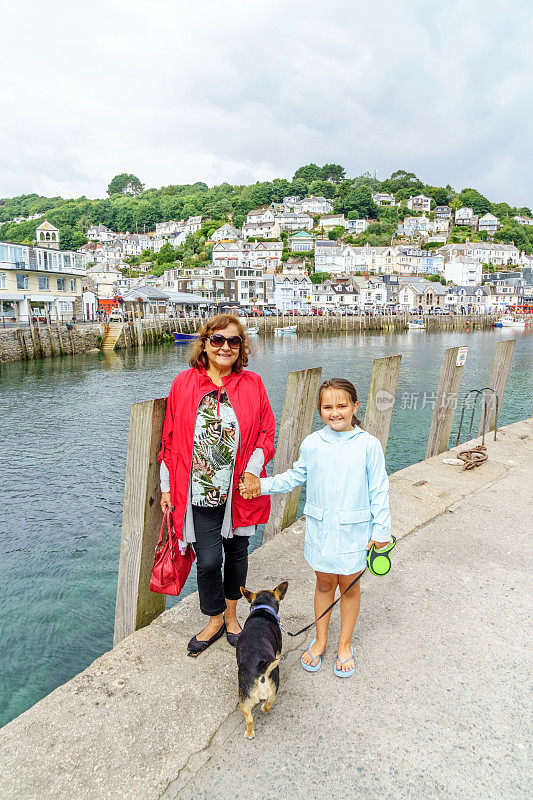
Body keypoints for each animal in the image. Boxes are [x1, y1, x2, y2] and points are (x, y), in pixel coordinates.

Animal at [236, 580, 286, 736]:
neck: (262, 609)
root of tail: (261, 669)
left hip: (245, 700)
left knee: (251, 717)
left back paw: (249, 733)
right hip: (271, 690)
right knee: (267, 705)